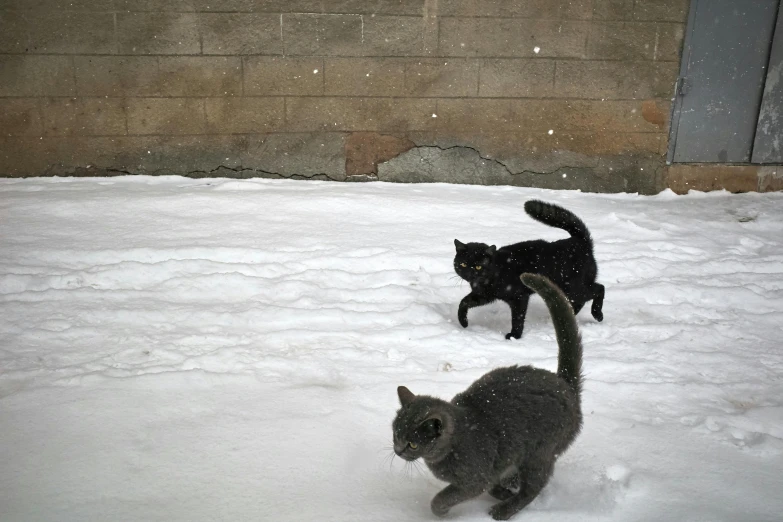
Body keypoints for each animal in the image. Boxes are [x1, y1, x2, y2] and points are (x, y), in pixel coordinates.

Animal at [392, 272, 580, 516]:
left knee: (534, 487)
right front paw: (502, 491)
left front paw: (441, 511)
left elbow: (445, 497)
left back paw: (504, 510)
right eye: (395, 435)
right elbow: (491, 484)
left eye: (412, 444)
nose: (397, 451)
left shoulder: (475, 478)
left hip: (539, 451)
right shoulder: (493, 469)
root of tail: (565, 385)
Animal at [454, 198, 608, 338]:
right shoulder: (483, 295)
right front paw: (463, 322)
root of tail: (580, 242)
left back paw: (597, 314)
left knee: (599, 288)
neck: (497, 271)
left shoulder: (519, 297)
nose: (469, 273)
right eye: (463, 264)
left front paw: (514, 335)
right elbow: (464, 302)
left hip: (574, 288)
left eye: (478, 266)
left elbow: (517, 319)